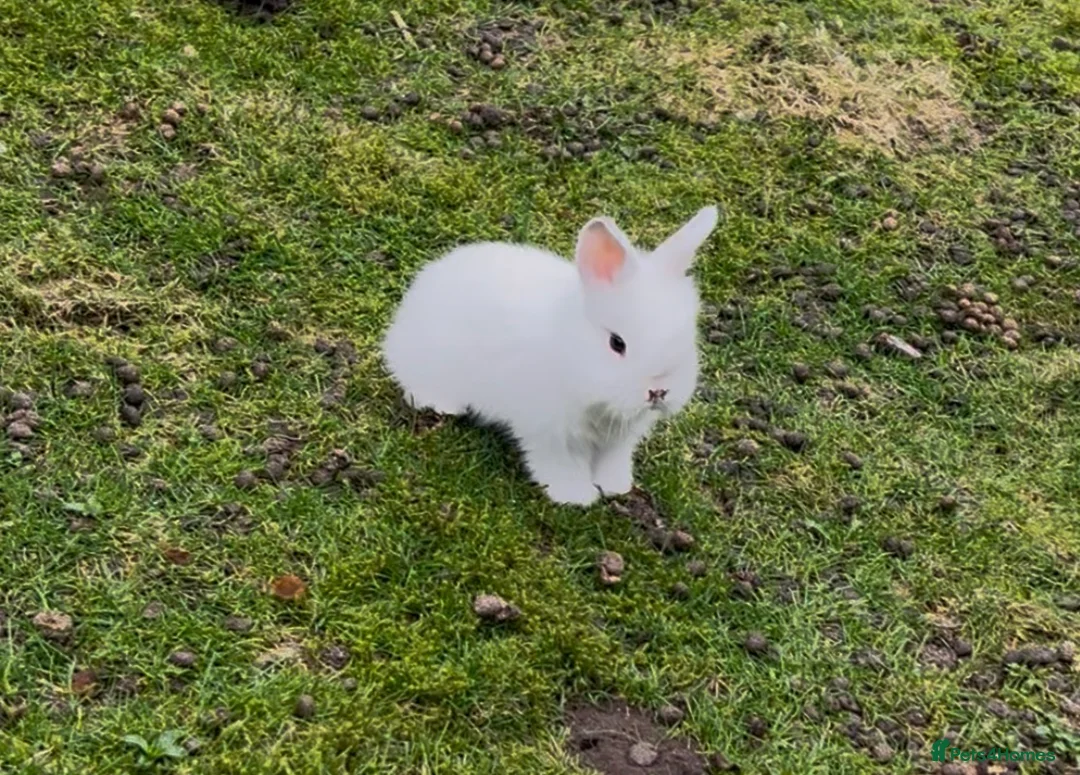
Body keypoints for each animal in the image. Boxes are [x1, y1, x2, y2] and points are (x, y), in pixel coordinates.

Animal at [382, 206, 718, 506]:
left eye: (688, 339)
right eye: (617, 343)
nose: (659, 391)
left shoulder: (620, 440)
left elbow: (612, 462)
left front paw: (615, 488)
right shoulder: (549, 432)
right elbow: (560, 464)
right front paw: (575, 497)